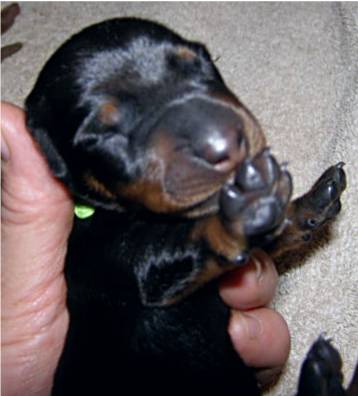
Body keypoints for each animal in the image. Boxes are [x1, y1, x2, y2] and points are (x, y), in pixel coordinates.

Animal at [25, 18, 350, 396]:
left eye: (201, 63)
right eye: (102, 135)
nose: (224, 143)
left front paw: (307, 205)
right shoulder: (118, 260)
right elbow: (181, 243)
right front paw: (246, 207)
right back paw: (320, 376)